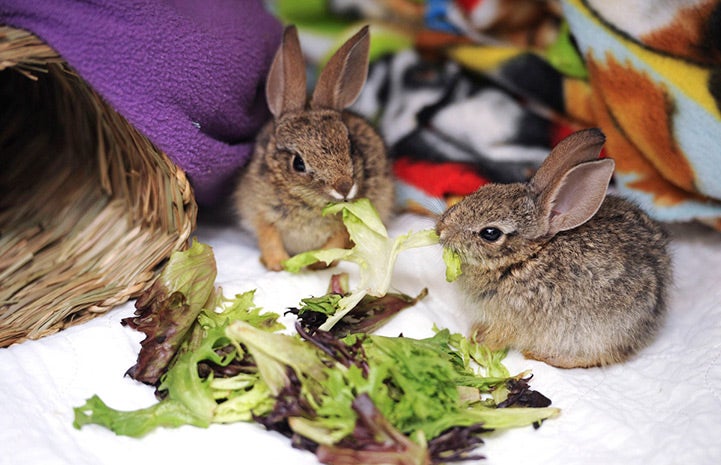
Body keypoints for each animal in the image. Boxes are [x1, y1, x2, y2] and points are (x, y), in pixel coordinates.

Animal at [233, 25, 394, 270]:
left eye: (351, 147)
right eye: (298, 163)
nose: (345, 187)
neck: (308, 202)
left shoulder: (343, 226)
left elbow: (336, 241)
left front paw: (317, 263)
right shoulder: (262, 212)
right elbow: (268, 237)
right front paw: (278, 264)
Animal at [436, 129, 672, 368]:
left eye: (490, 233)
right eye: (485, 188)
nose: (441, 230)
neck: (526, 257)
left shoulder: (512, 320)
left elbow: (499, 337)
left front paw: (476, 344)